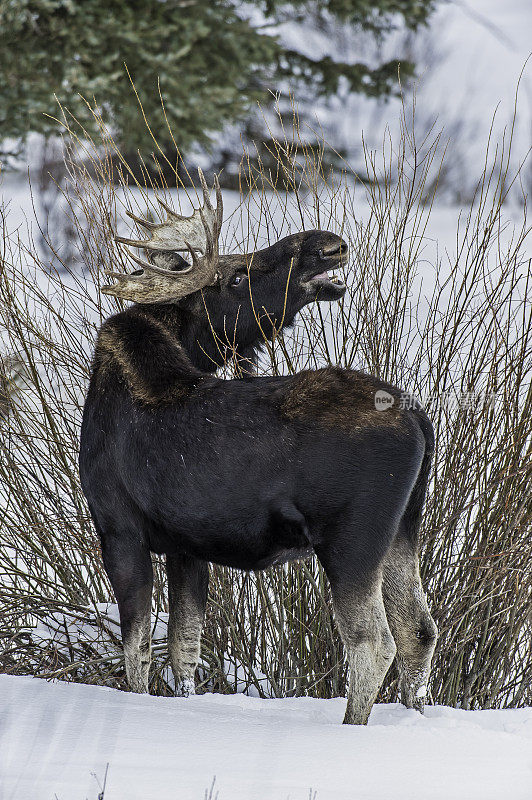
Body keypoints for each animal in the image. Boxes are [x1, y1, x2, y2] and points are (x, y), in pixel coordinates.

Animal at [79, 170, 436, 724]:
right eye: (235, 277)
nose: (327, 245)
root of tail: (418, 418)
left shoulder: (118, 528)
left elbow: (137, 650)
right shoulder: (186, 546)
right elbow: (183, 648)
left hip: (352, 537)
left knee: (373, 641)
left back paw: (352, 727)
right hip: (404, 527)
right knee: (419, 629)